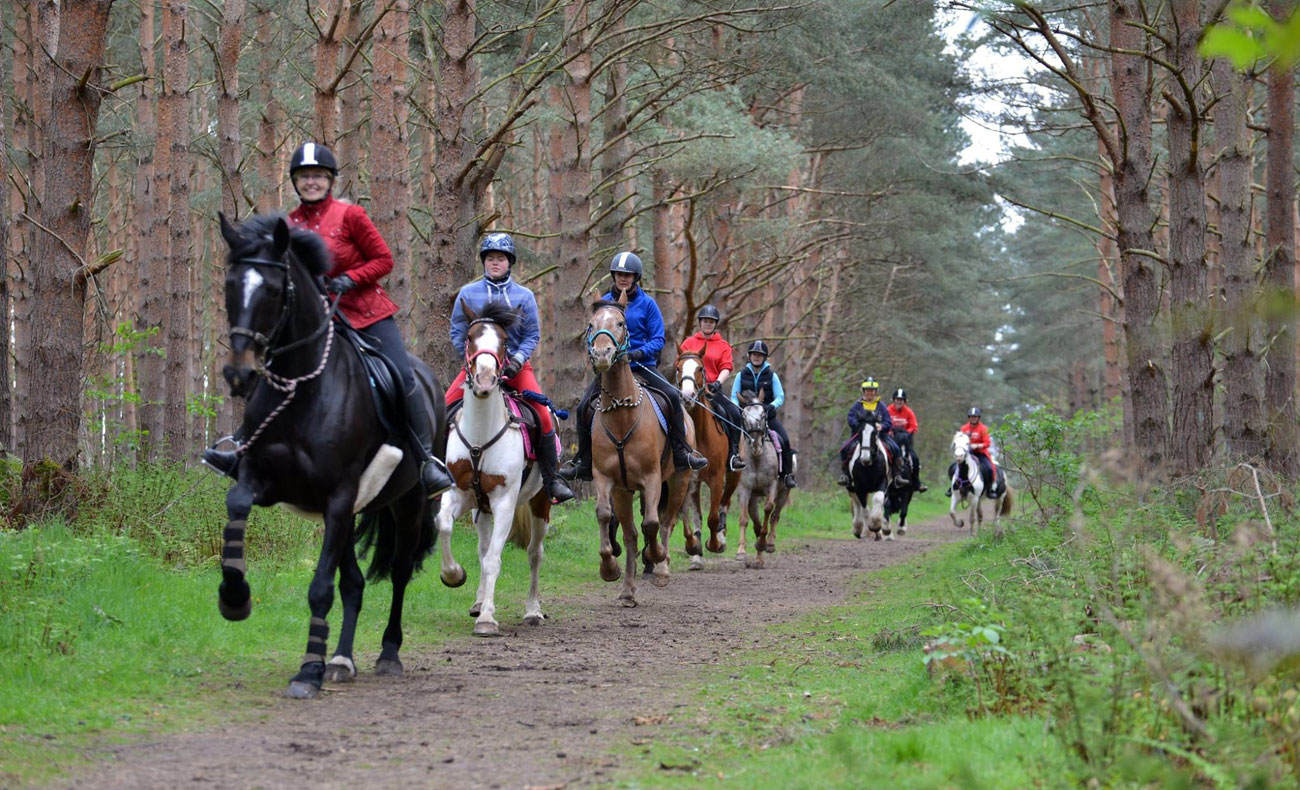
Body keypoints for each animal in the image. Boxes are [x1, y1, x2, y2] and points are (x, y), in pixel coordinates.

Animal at [214, 210, 457, 696]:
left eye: (274, 289)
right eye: (230, 285)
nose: (239, 373)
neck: (301, 387)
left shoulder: (338, 496)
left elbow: (321, 588)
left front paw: (308, 670)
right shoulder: (265, 480)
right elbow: (237, 505)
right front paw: (234, 597)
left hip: (407, 503)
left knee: (398, 571)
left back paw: (387, 653)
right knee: (356, 583)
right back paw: (342, 659)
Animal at [436, 301, 548, 636]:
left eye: (504, 341)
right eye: (470, 337)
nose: (485, 379)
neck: (479, 437)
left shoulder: (504, 503)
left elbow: (494, 560)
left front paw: (487, 619)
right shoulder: (459, 494)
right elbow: (444, 525)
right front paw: (453, 575)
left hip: (541, 502)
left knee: (534, 554)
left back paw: (532, 611)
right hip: (480, 508)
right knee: (482, 546)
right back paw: (478, 601)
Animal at [585, 297, 696, 605]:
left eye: (620, 323)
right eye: (591, 325)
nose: (602, 353)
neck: (621, 415)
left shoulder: (652, 478)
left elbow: (653, 523)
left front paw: (656, 556)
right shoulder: (606, 479)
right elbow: (604, 515)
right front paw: (609, 568)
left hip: (679, 479)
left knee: (667, 522)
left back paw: (661, 568)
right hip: (624, 492)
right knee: (631, 534)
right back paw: (627, 591)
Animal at [676, 350, 738, 566]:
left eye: (700, 368)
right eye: (678, 367)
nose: (687, 396)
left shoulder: (717, 479)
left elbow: (713, 517)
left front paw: (715, 544)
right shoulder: (689, 480)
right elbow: (690, 516)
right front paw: (694, 549)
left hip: (734, 476)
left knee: (725, 504)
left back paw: (721, 536)